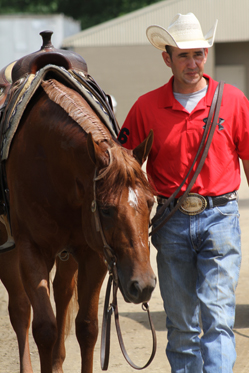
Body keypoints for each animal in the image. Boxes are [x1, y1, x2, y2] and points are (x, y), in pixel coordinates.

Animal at [0, 73, 157, 372]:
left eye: (151, 203)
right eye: (105, 210)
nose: (142, 285)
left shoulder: (93, 253)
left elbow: (87, 327)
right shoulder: (31, 250)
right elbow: (44, 328)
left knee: (62, 293)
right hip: (8, 250)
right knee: (21, 309)